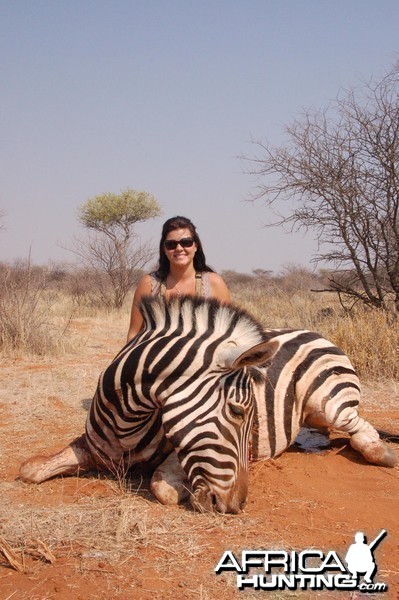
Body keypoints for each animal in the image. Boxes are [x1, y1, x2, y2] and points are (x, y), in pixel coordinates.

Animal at [20, 296, 398, 510]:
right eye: (237, 411)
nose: (236, 506)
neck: (125, 422)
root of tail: (312, 331)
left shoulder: (177, 449)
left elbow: (162, 487)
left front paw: (183, 489)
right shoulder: (90, 448)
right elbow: (31, 470)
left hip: (329, 403)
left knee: (359, 426)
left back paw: (380, 451)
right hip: (317, 416)